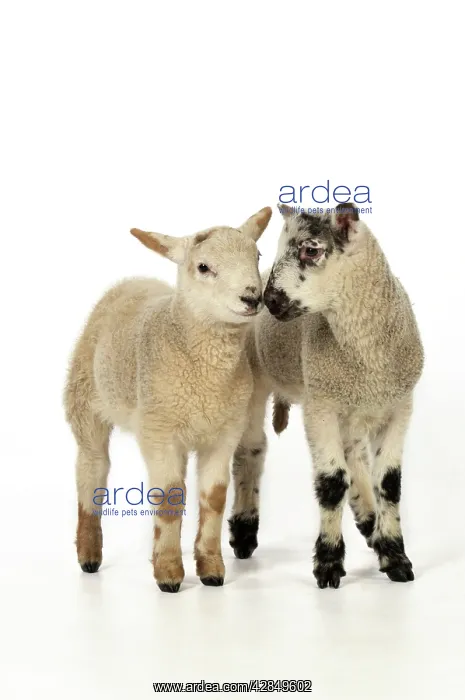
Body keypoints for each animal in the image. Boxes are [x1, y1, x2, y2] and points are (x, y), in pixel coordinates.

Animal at [64, 206, 272, 592]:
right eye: (203, 267)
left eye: (257, 256)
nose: (252, 298)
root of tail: (130, 280)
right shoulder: (159, 433)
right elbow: (170, 498)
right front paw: (169, 573)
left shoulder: (223, 432)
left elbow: (214, 498)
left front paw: (210, 569)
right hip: (85, 403)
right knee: (92, 469)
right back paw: (88, 555)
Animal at [228, 203, 424, 588]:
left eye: (311, 250)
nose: (269, 300)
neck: (367, 356)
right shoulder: (320, 407)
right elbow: (332, 484)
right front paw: (329, 564)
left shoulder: (398, 406)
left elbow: (388, 483)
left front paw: (395, 557)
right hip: (256, 381)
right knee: (250, 451)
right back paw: (243, 534)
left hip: (348, 406)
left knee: (355, 456)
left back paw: (370, 525)